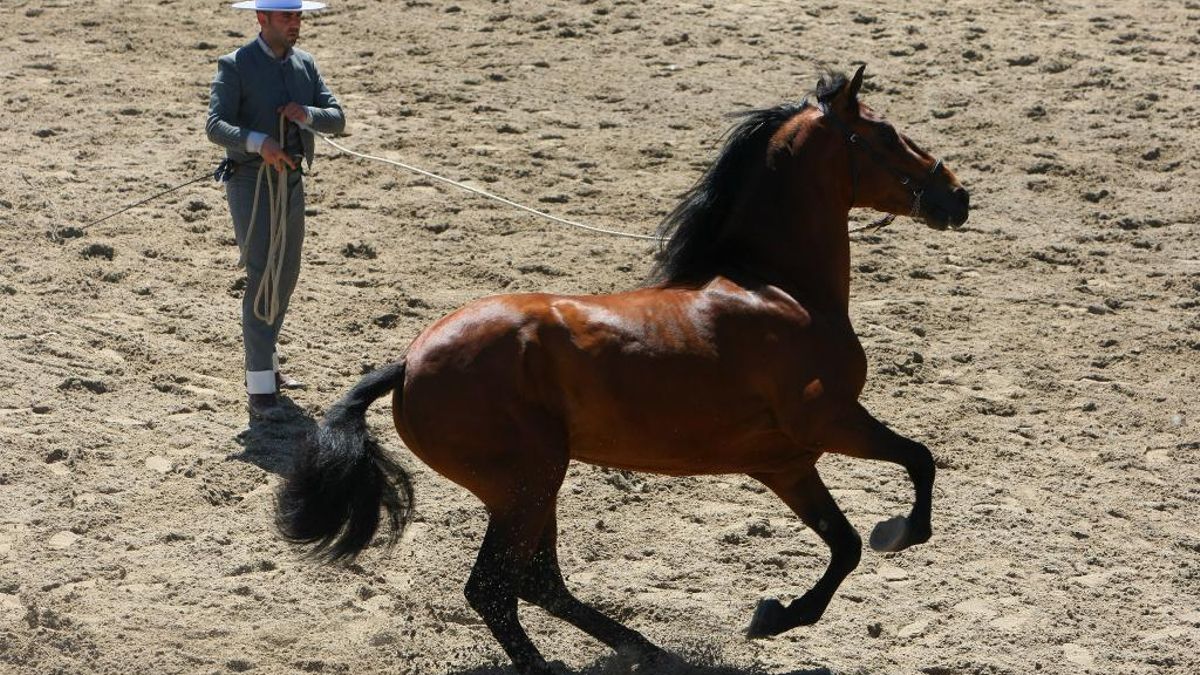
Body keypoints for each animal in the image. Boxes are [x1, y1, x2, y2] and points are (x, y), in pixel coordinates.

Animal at [277, 65, 969, 675]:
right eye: (886, 134)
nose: (957, 196)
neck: (778, 289)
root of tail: (408, 363)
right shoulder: (829, 420)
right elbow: (919, 462)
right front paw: (898, 532)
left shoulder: (785, 462)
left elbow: (845, 543)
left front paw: (774, 615)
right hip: (527, 484)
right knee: (495, 588)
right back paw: (560, 662)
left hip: (533, 487)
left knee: (537, 583)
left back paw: (644, 646)